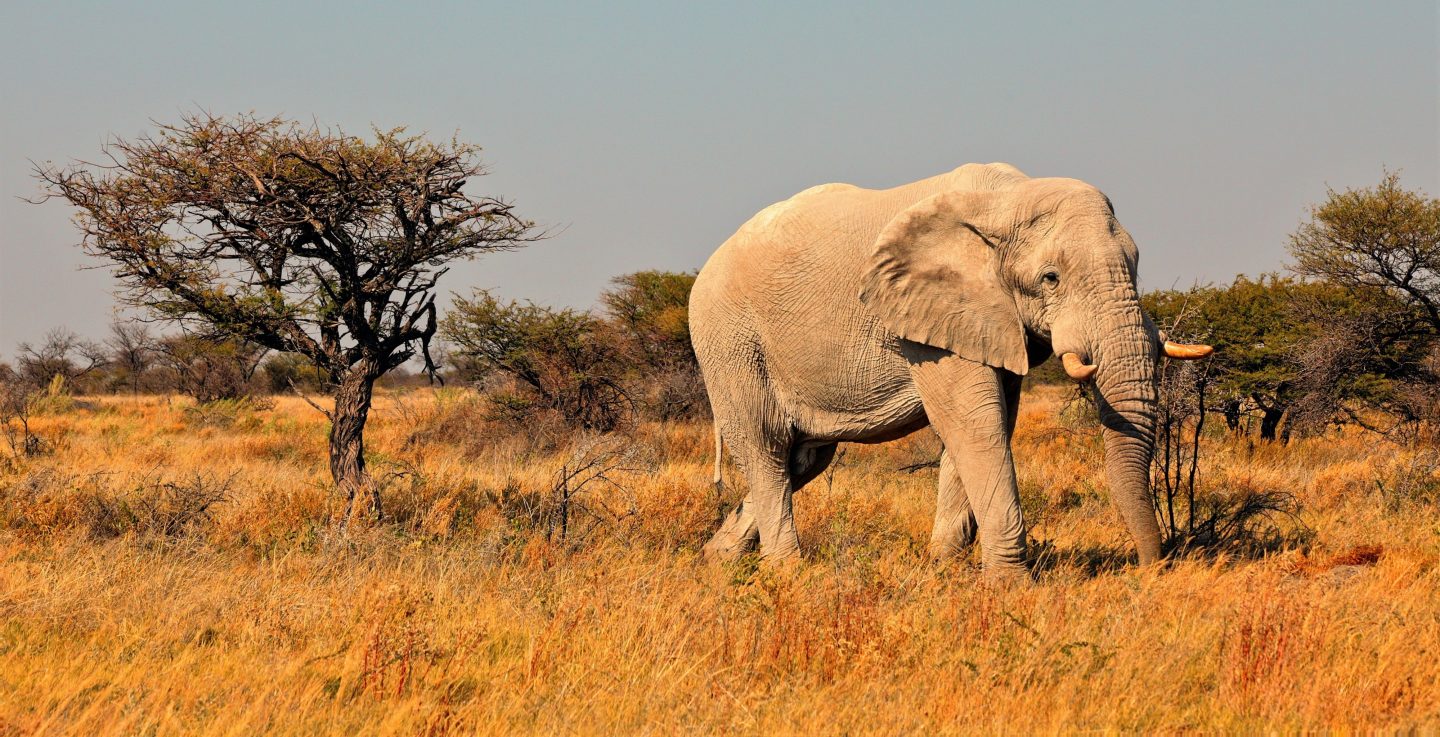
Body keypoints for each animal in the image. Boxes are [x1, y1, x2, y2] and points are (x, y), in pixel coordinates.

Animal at [688, 162, 1211, 571]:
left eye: (1136, 266)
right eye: (1051, 278)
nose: (1152, 567)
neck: (1005, 199)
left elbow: (991, 422)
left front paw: (944, 568)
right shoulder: (929, 318)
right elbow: (974, 425)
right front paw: (1009, 586)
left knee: (801, 461)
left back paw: (716, 560)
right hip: (732, 343)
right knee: (767, 449)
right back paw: (788, 573)